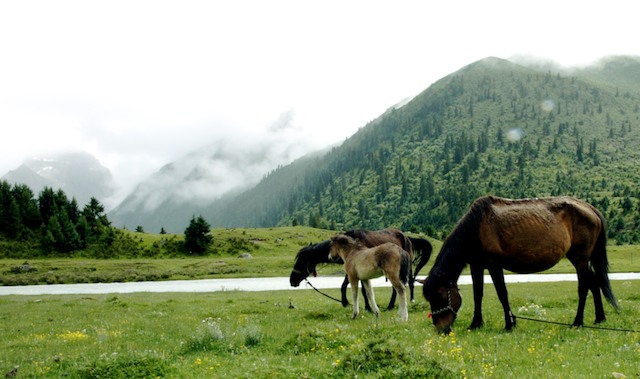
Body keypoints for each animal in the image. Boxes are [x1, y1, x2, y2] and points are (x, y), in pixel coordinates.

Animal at [292, 230, 432, 310]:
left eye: (301, 261)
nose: (292, 281)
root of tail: (407, 237)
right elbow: (344, 286)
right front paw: (345, 302)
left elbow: (363, 290)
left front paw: (367, 307)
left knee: (403, 285)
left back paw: (393, 305)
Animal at [422, 197, 616, 334]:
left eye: (440, 296)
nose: (441, 329)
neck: (475, 228)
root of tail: (590, 208)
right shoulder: (476, 265)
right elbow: (478, 295)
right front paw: (476, 323)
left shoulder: (494, 265)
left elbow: (502, 293)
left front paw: (510, 324)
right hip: (580, 259)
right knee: (594, 282)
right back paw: (599, 318)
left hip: (580, 258)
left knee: (584, 286)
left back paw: (577, 322)